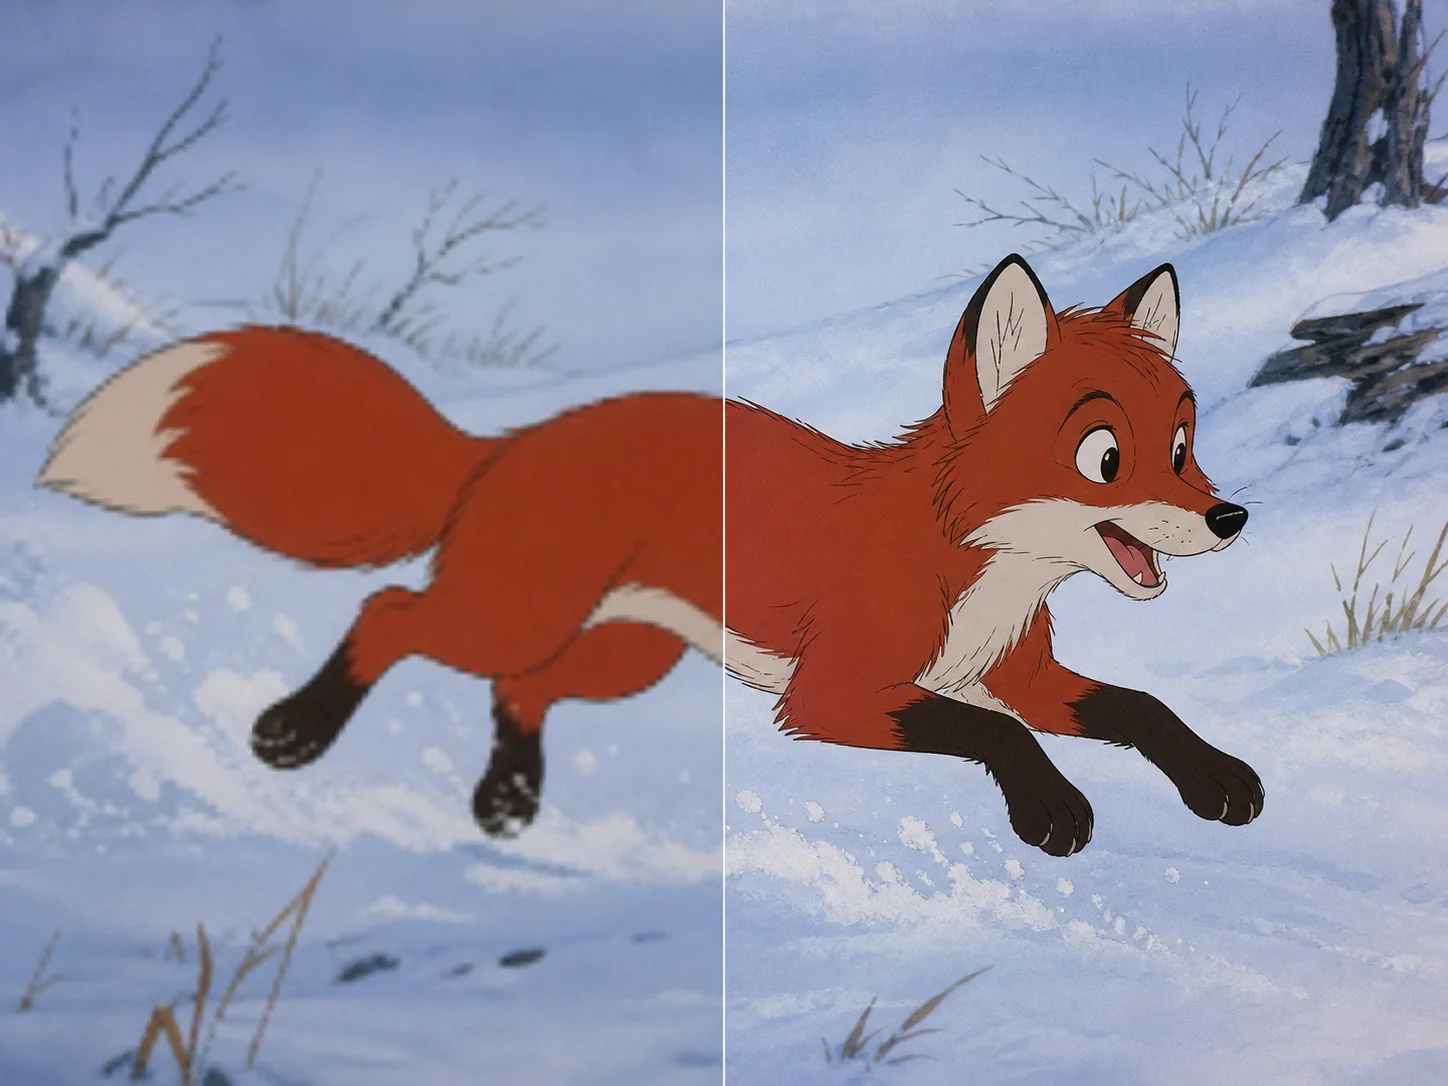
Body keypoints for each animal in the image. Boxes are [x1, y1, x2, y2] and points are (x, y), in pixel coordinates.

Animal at [37, 325, 722, 837]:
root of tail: (508, 443)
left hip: (632, 647)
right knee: (391, 613)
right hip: (515, 619)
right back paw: (296, 732)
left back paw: (505, 803)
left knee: (520, 685)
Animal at [725, 253, 1263, 857]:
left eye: (1179, 451)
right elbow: (998, 727)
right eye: (1106, 459)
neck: (985, 585)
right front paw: (1050, 805)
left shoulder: (1022, 677)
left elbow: (1140, 702)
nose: (1230, 518)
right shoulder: (827, 694)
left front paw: (1214, 774)